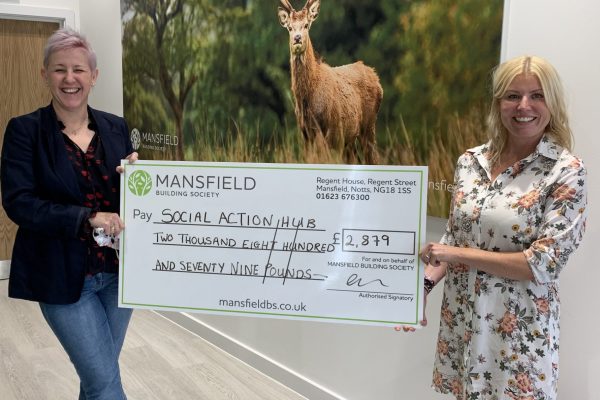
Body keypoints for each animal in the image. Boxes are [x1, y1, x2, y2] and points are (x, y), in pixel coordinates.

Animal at [278, 0, 382, 164]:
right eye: (289, 27)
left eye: (306, 25)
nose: (297, 38)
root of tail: (376, 77)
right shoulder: (305, 133)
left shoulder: (333, 131)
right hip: (351, 139)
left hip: (369, 124)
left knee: (373, 157)